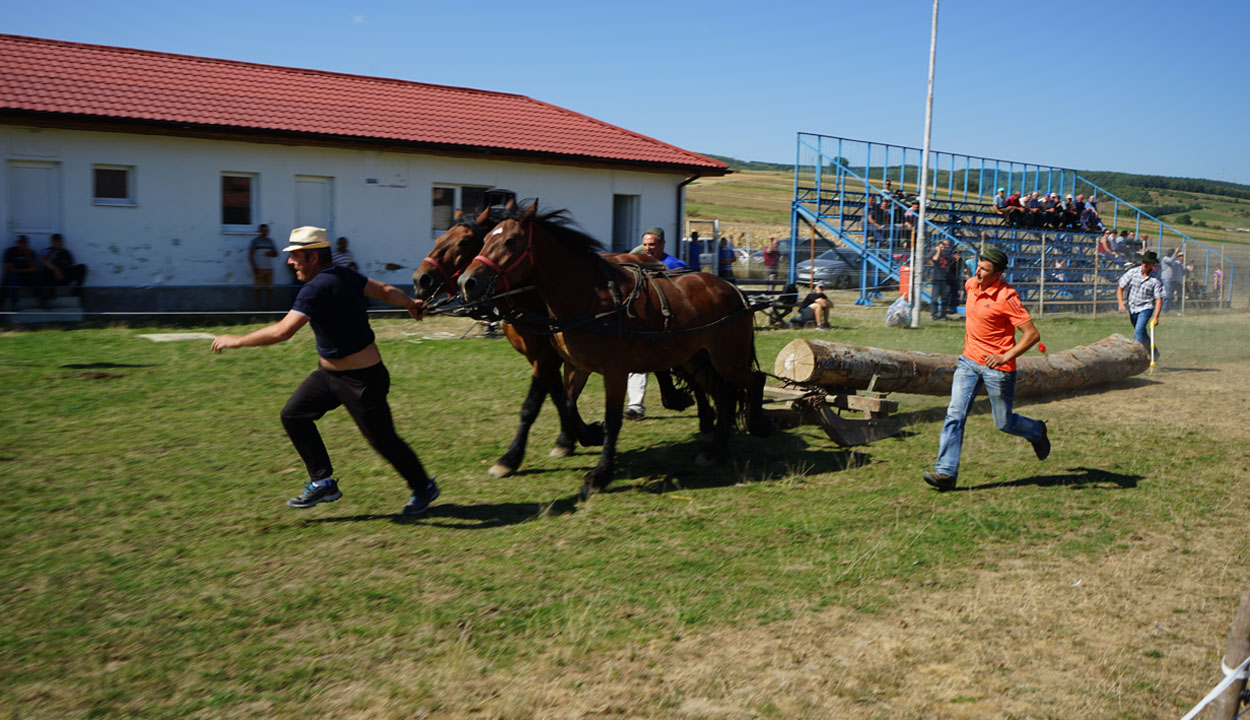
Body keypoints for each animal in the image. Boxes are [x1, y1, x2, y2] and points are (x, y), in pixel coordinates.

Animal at [412, 202, 700, 477]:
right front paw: (574, 437)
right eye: (441, 237)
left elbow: (535, 403)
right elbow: (559, 395)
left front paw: (513, 458)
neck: (530, 294)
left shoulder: (547, 355)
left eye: (463, 242)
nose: (420, 279)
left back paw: (673, 398)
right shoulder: (543, 356)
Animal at [460, 201, 770, 495]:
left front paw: (600, 474)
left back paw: (754, 425)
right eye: (485, 238)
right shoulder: (574, 366)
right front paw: (578, 438)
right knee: (724, 394)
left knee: (754, 380)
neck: (589, 297)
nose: (467, 282)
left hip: (727, 359)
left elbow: (611, 420)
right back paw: (716, 450)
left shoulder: (615, 372)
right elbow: (566, 403)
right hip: (697, 359)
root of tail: (736, 292)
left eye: (511, 241)